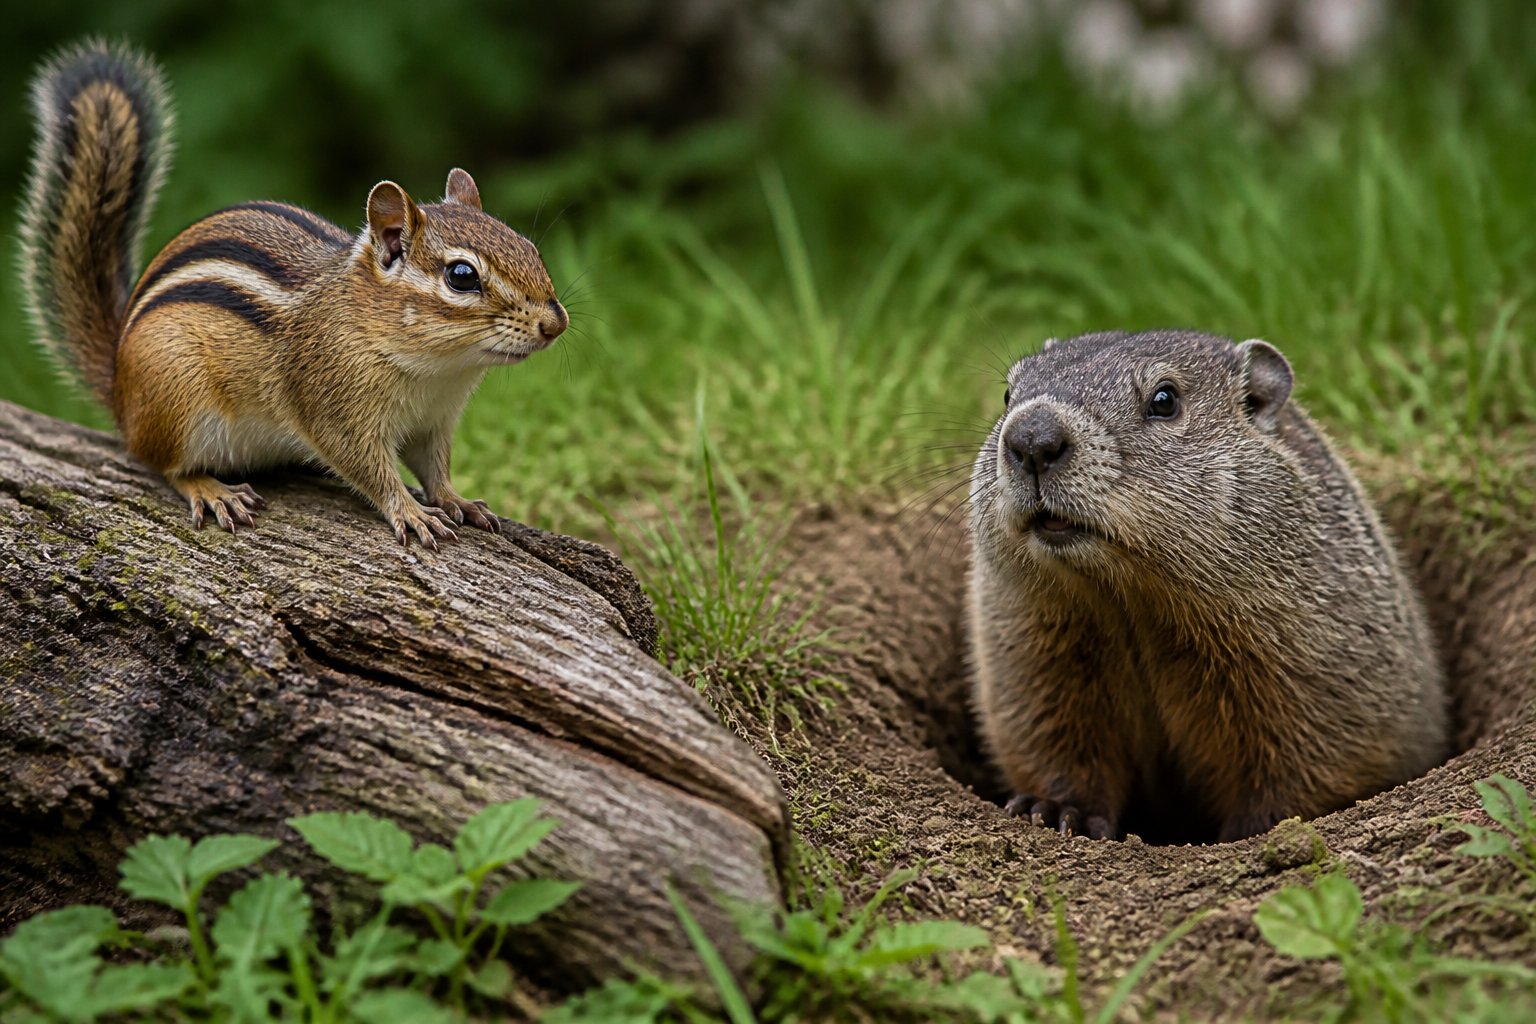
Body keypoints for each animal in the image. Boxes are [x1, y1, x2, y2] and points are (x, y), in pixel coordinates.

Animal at [19, 41, 567, 548]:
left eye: (530, 248)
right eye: (461, 276)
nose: (555, 324)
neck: (437, 371)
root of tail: (118, 387)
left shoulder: (435, 422)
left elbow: (435, 468)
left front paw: (456, 500)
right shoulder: (335, 408)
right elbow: (369, 468)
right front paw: (409, 511)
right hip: (176, 397)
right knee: (161, 463)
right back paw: (211, 489)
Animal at [966, 330, 1447, 843]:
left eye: (1164, 400)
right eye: (1007, 394)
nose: (1031, 437)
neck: (1128, 604)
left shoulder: (1312, 645)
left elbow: (1319, 742)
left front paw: (1262, 828)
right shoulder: (1035, 638)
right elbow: (1046, 722)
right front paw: (1054, 808)